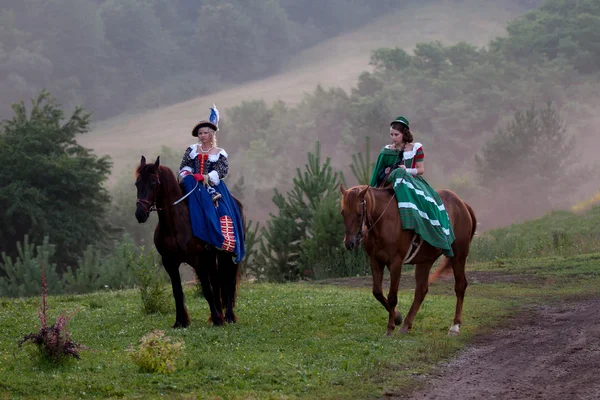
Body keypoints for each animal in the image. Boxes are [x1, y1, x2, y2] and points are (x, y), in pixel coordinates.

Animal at [135, 156, 243, 328]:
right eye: (137, 183)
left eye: (154, 183)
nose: (140, 214)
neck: (175, 225)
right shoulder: (170, 263)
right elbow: (177, 291)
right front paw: (180, 321)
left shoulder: (198, 260)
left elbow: (206, 290)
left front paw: (218, 319)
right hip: (211, 257)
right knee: (217, 281)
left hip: (227, 255)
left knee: (228, 282)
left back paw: (228, 317)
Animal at [340, 184, 476, 334]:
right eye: (343, 213)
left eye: (359, 214)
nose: (349, 243)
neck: (385, 221)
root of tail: (463, 205)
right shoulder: (375, 261)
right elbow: (377, 292)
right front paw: (397, 317)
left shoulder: (396, 263)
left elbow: (392, 297)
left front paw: (390, 328)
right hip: (425, 262)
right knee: (421, 290)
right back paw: (406, 325)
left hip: (458, 256)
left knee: (460, 286)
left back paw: (455, 326)